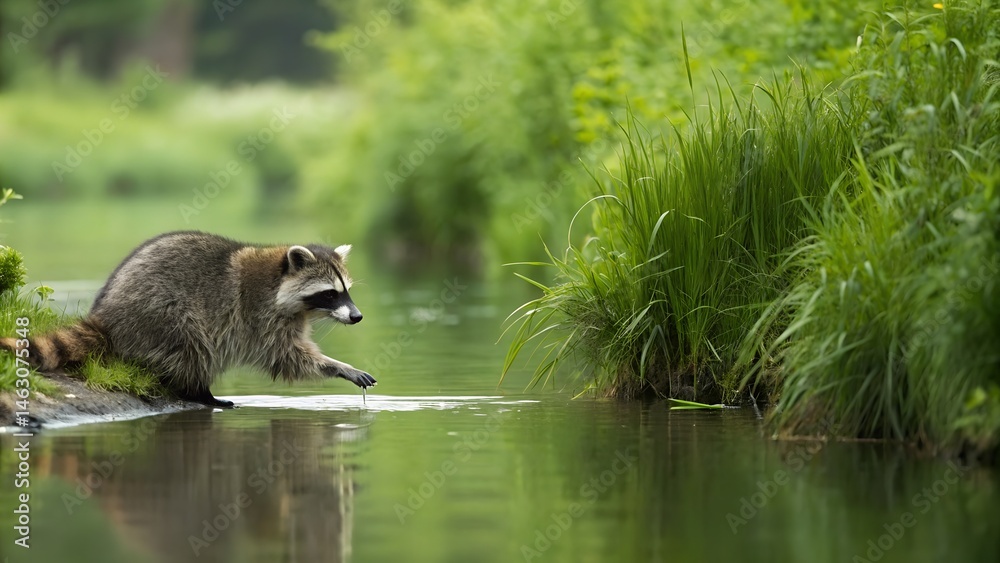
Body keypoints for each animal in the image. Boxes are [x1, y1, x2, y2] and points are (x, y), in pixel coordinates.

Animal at [0, 231, 375, 408]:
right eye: (330, 294)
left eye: (346, 291)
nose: (357, 317)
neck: (279, 277)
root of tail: (107, 313)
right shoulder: (261, 316)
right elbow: (287, 357)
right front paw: (337, 365)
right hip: (160, 312)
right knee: (193, 345)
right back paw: (200, 392)